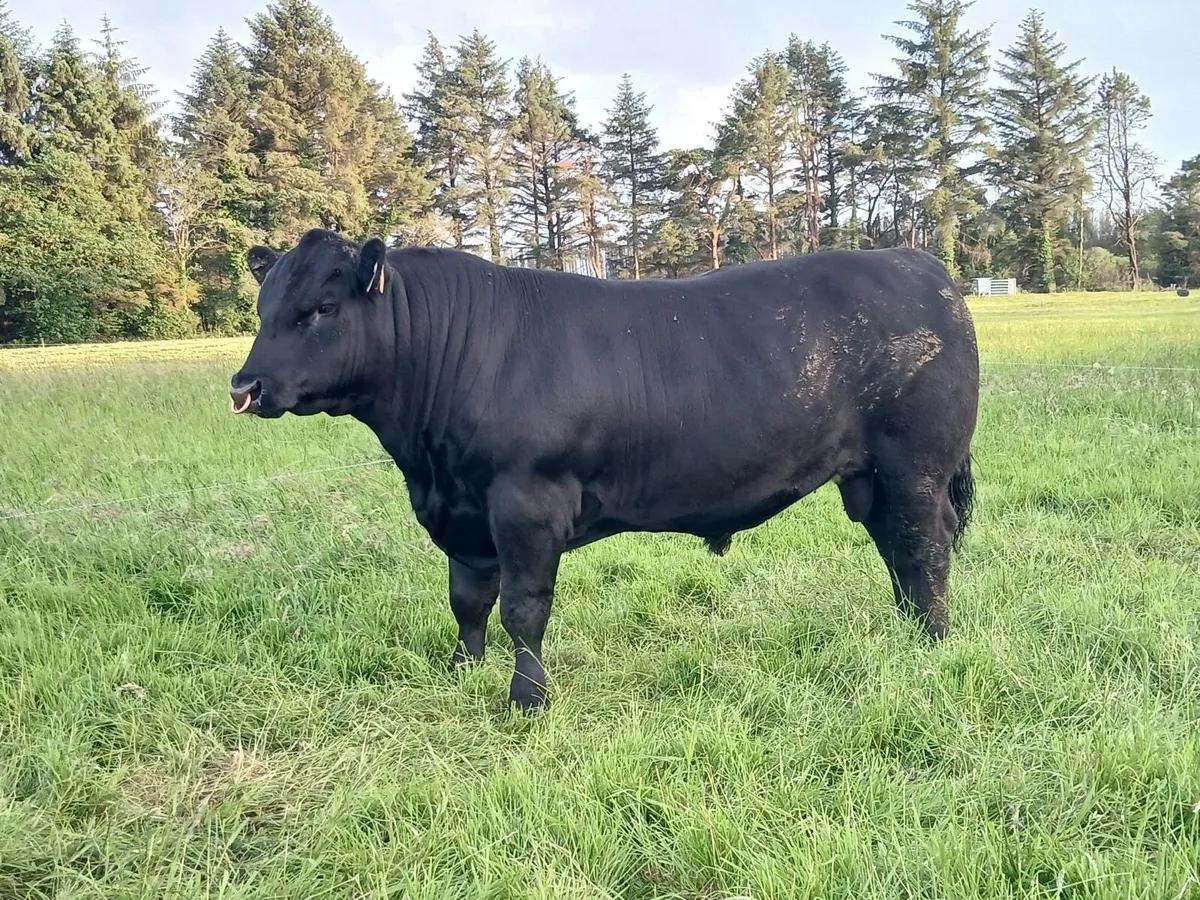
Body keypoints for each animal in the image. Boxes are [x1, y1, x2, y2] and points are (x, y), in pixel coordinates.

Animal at [230, 228, 979, 713]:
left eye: (321, 309)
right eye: (263, 309)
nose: (245, 386)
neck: (425, 462)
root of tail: (919, 263)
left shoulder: (526, 502)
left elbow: (523, 608)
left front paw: (527, 698)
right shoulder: (463, 514)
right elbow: (467, 600)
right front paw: (462, 671)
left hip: (915, 464)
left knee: (926, 544)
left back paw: (933, 641)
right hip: (871, 478)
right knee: (898, 547)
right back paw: (908, 628)